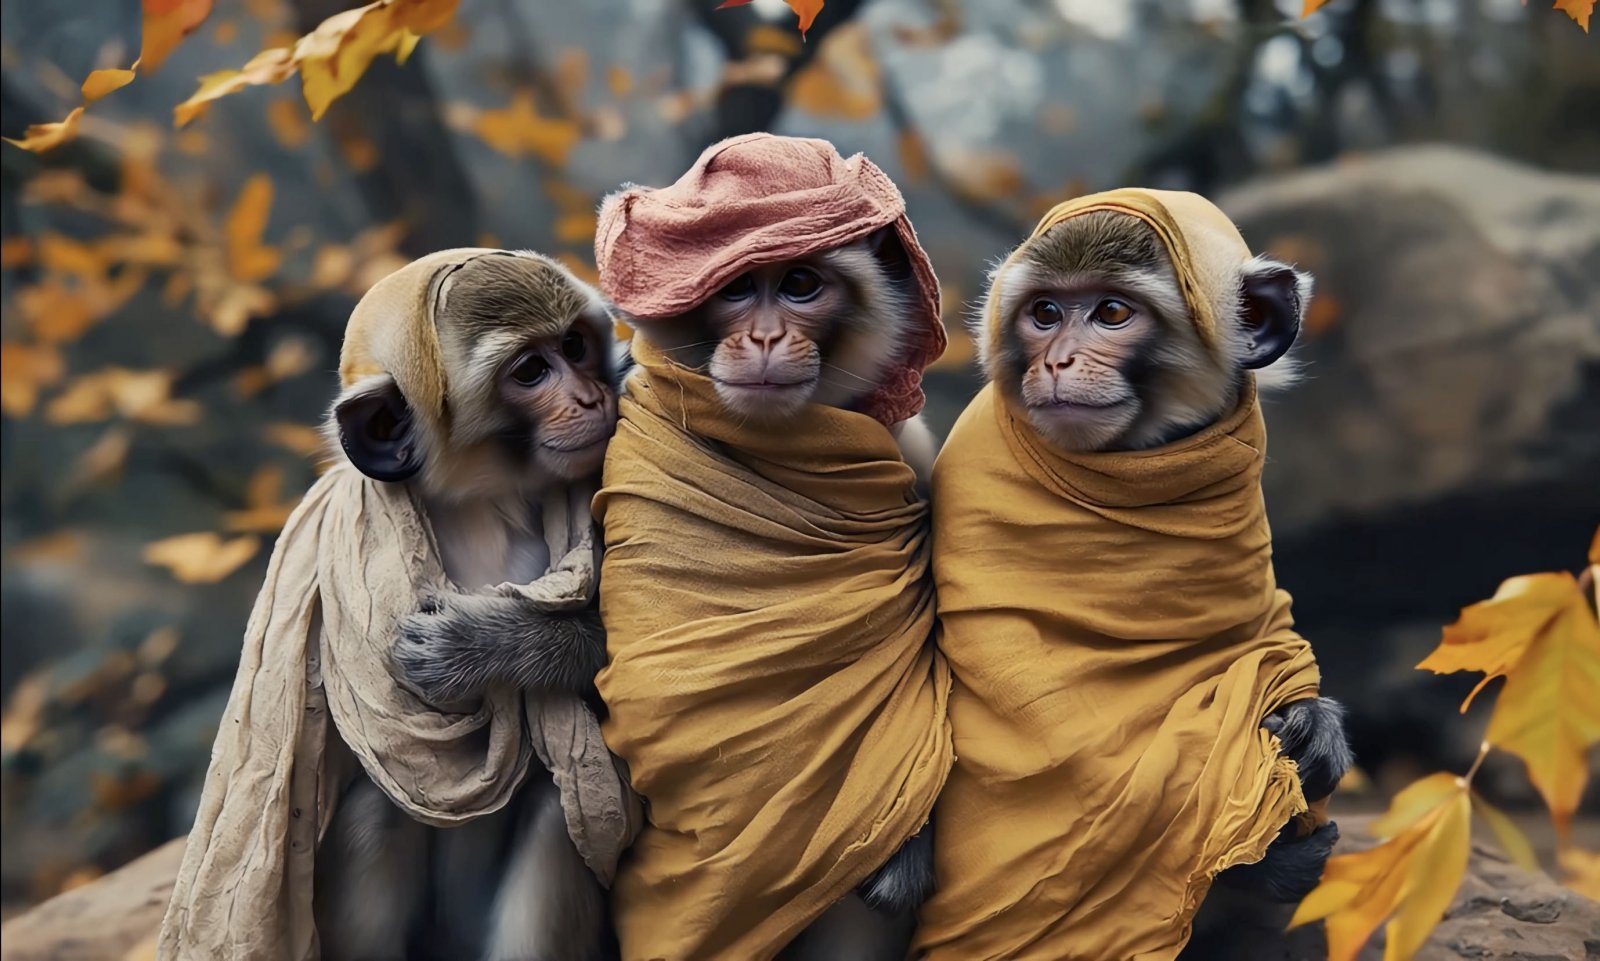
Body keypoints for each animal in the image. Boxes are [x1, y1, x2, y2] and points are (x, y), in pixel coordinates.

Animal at [314, 250, 621, 961]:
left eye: (574, 346)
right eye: (531, 371)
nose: (592, 396)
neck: (483, 501)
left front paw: (482, 646)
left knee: (559, 817)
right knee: (379, 806)